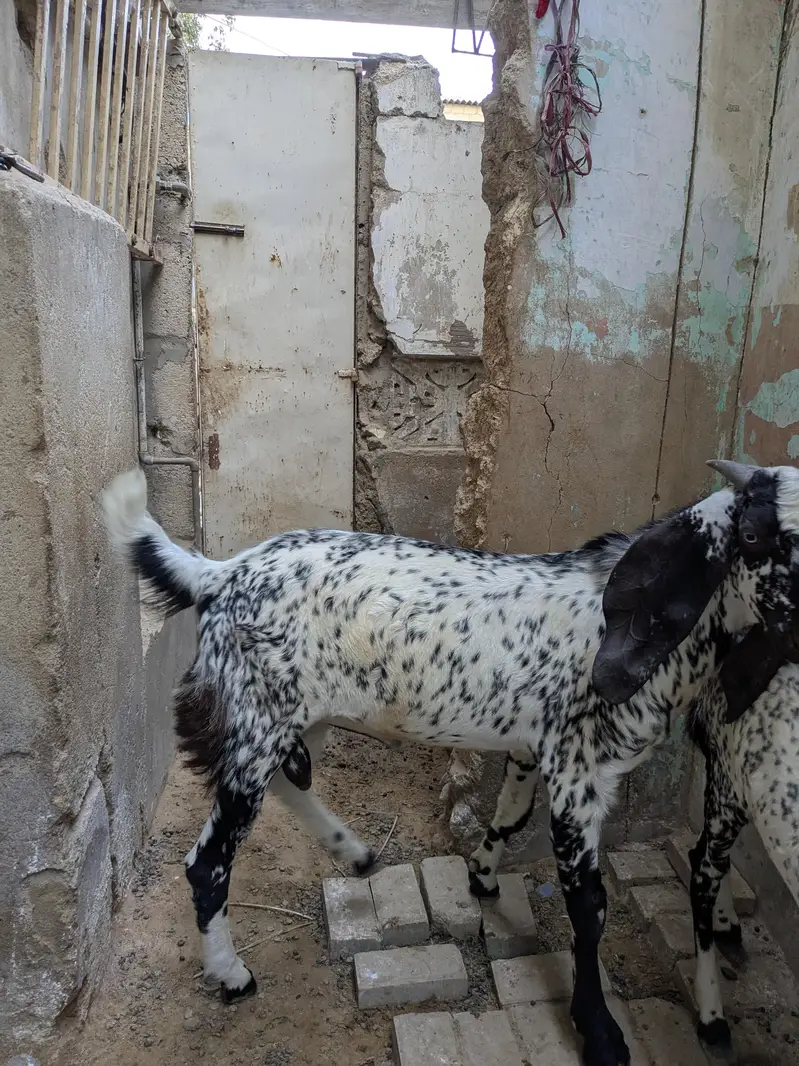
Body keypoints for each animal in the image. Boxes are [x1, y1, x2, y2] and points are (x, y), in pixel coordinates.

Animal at [102, 459, 799, 1066]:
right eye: (756, 536)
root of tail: (220, 574)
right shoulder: (578, 771)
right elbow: (589, 905)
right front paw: (600, 1034)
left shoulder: (532, 746)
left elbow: (510, 815)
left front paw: (483, 877)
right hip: (257, 719)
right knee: (208, 862)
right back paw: (232, 974)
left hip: (298, 718)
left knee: (289, 788)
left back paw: (352, 850)